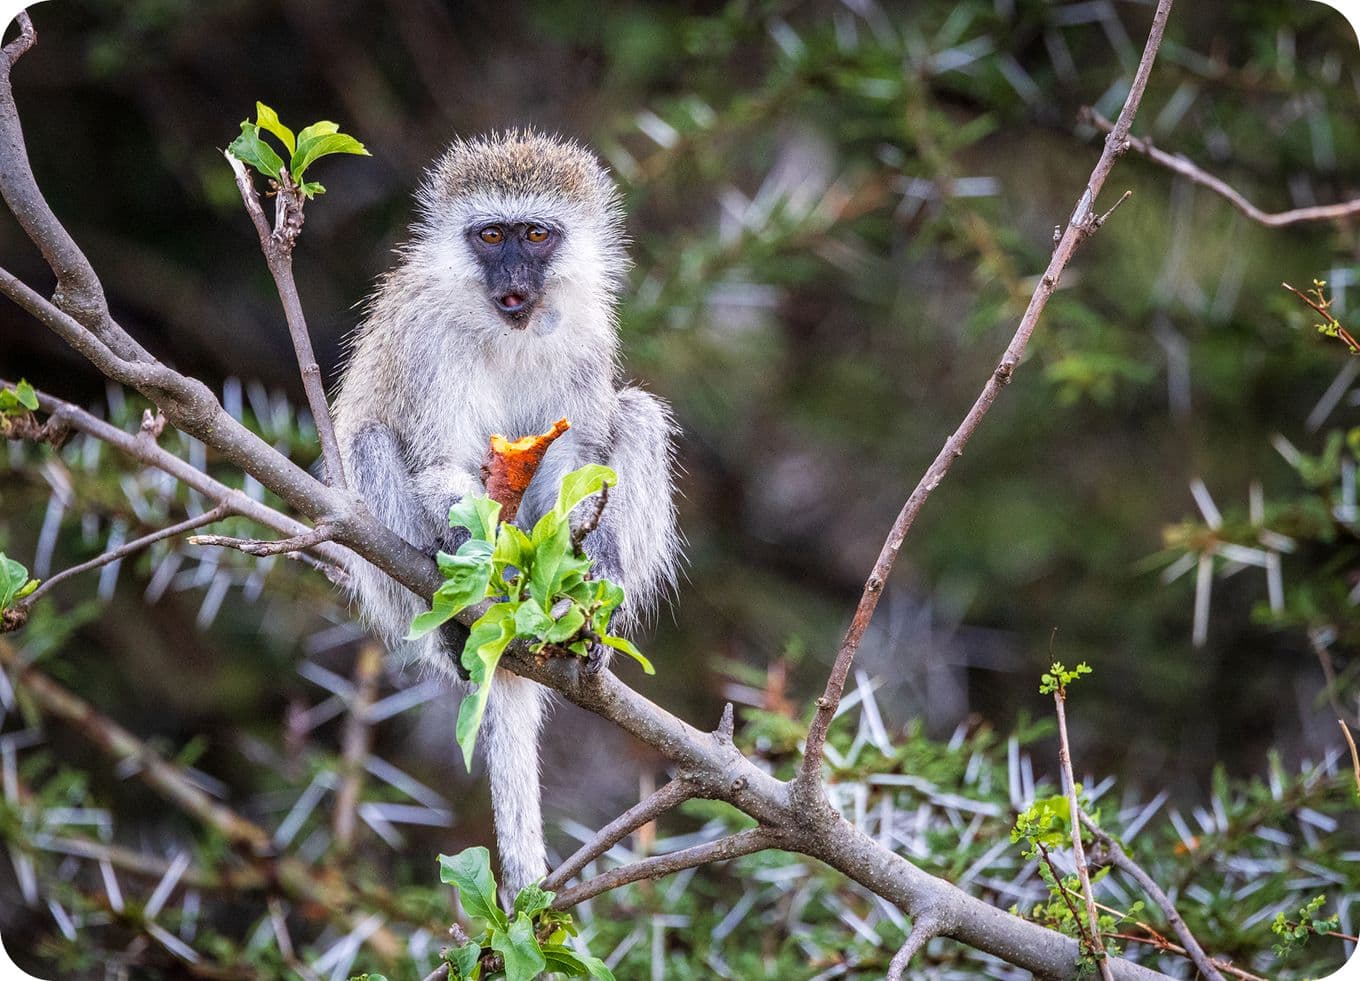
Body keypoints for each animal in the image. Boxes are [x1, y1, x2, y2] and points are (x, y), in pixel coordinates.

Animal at [331, 130, 680, 902]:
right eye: (491, 235)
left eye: (536, 235)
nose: (513, 276)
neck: (509, 328)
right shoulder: (426, 341)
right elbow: (437, 463)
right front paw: (480, 557)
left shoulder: (586, 333)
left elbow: (581, 460)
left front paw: (588, 584)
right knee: (370, 443)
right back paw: (459, 624)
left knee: (639, 416)